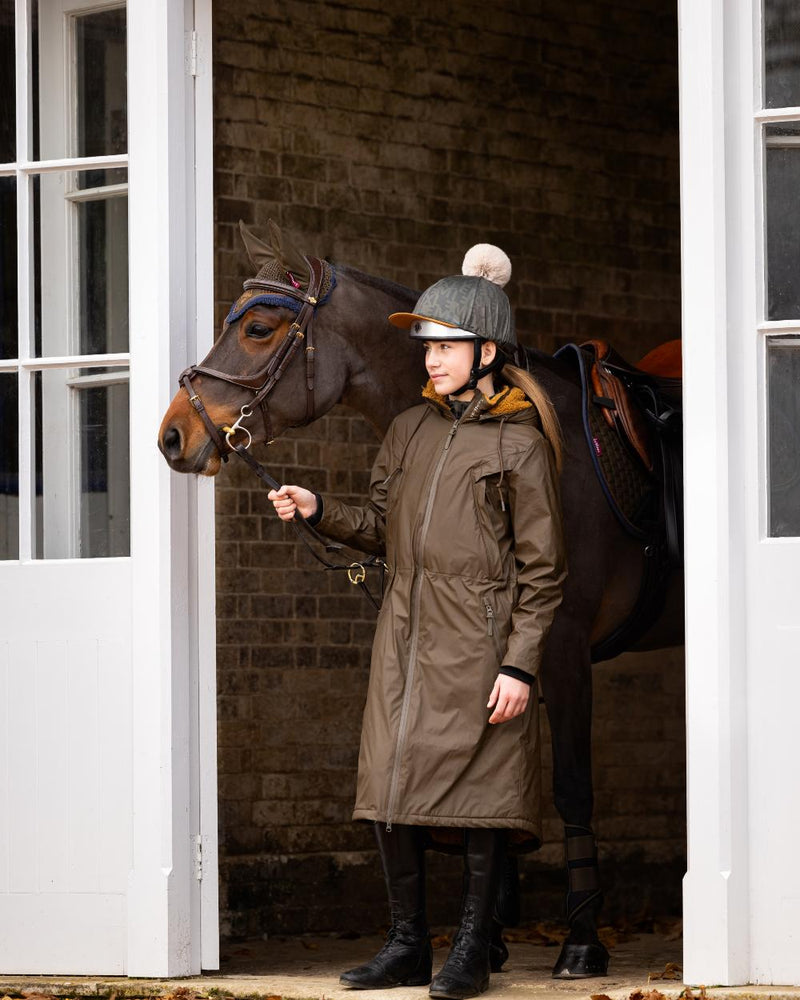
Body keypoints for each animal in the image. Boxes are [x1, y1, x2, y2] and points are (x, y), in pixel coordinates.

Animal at [159, 223, 684, 980]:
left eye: (259, 328)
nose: (173, 435)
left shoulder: (559, 649)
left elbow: (569, 787)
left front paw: (581, 943)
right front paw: (488, 940)